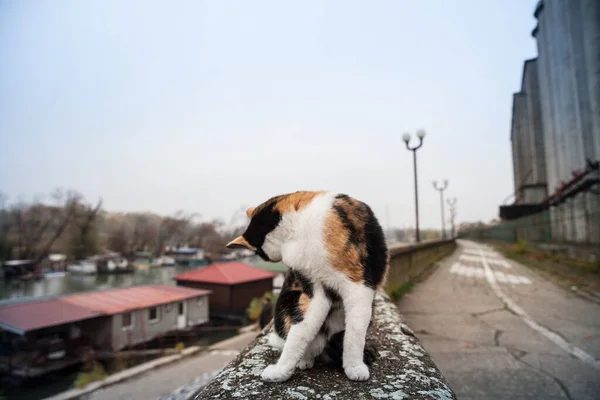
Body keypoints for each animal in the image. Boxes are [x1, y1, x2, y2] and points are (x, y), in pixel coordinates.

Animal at [226, 191, 390, 382]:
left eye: (259, 252)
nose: (266, 258)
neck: (297, 233)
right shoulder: (314, 290)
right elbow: (301, 331)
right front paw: (282, 370)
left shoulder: (358, 287)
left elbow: (354, 334)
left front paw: (354, 367)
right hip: (289, 300)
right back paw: (305, 360)